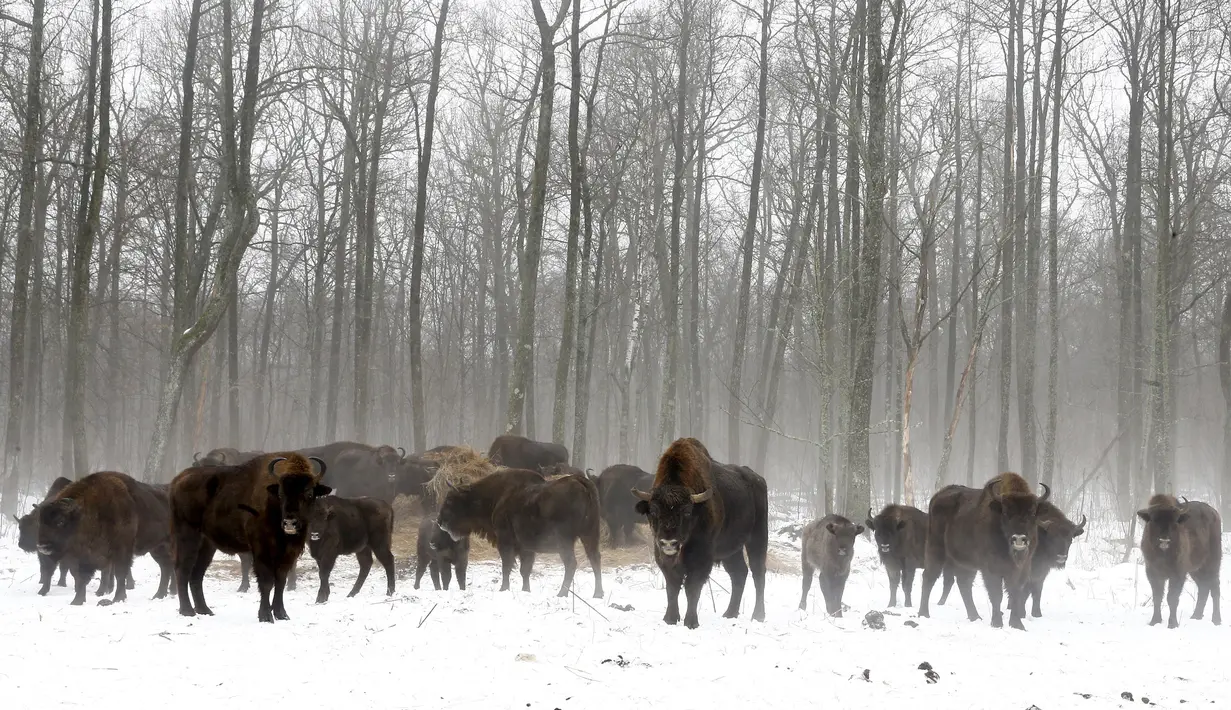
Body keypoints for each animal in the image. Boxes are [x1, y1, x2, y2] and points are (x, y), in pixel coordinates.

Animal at [169, 452, 329, 622]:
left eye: (309, 494)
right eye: (280, 494)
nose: (290, 523)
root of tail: (177, 480)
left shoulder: (288, 552)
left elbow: (280, 580)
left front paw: (282, 614)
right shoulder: (261, 549)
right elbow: (267, 581)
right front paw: (265, 616)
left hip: (207, 545)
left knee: (197, 574)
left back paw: (205, 610)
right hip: (188, 537)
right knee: (182, 569)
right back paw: (187, 611)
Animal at [437, 468, 603, 598]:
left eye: (450, 500)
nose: (439, 521)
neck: (497, 496)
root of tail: (581, 482)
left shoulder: (505, 541)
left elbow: (507, 566)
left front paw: (503, 589)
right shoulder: (526, 548)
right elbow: (525, 570)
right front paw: (526, 590)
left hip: (565, 541)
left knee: (571, 563)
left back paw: (562, 593)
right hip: (589, 535)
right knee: (595, 559)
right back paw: (598, 594)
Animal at [633, 438, 768, 629]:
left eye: (687, 512)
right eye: (652, 511)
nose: (669, 543)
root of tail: (758, 480)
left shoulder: (702, 557)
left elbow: (692, 587)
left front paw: (691, 622)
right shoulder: (662, 557)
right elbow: (672, 587)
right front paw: (670, 619)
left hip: (757, 537)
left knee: (758, 572)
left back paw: (758, 616)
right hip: (731, 550)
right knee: (739, 573)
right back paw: (730, 613)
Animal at [918, 472, 1049, 630]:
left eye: (1032, 512)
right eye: (1006, 512)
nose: (1019, 538)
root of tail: (937, 497)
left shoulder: (1022, 569)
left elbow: (1015, 593)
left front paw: (1017, 625)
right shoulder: (991, 570)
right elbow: (996, 595)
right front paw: (997, 623)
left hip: (965, 563)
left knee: (964, 584)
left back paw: (975, 616)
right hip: (936, 549)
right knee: (929, 577)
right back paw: (923, 614)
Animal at [1138, 494, 1222, 628]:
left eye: (1174, 521)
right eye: (1154, 519)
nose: (1164, 540)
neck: (1163, 554)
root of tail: (1214, 513)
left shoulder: (1178, 574)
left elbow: (1172, 598)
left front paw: (1172, 624)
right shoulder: (1153, 573)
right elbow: (1157, 597)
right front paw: (1154, 621)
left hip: (1213, 563)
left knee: (1214, 587)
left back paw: (1216, 620)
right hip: (1196, 570)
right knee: (1203, 587)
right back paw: (1196, 616)